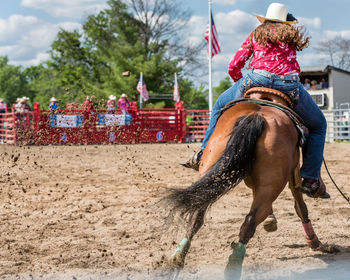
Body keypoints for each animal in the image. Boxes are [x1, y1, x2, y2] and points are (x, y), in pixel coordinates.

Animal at [164, 91, 336, 278]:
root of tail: (256, 116)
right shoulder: (294, 171)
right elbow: (300, 207)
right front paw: (314, 242)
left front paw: (270, 219)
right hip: (272, 182)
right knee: (250, 221)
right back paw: (234, 265)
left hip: (213, 167)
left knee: (198, 213)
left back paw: (176, 259)